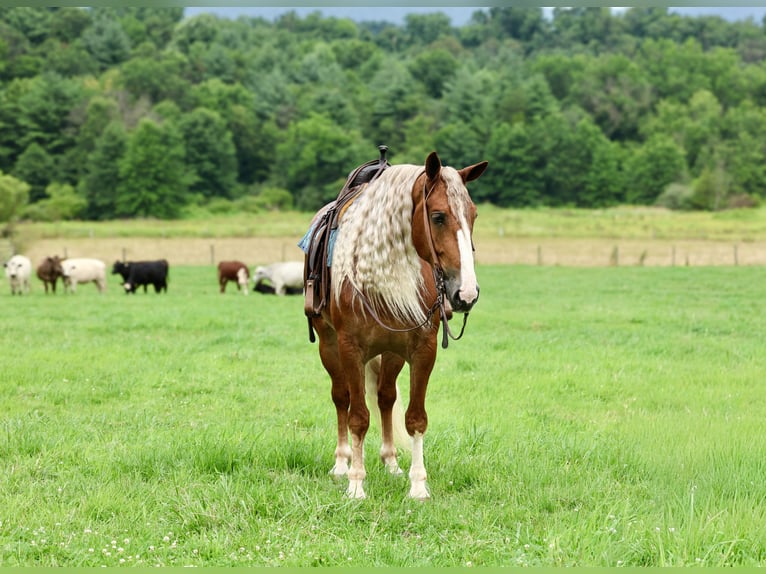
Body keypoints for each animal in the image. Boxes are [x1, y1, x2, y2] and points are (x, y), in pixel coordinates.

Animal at [303, 151, 488, 499]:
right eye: (438, 216)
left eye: (473, 215)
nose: (466, 293)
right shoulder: (350, 349)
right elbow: (358, 418)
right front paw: (356, 484)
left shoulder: (422, 349)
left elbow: (415, 418)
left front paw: (418, 486)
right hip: (328, 346)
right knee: (341, 398)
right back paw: (342, 464)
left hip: (391, 353)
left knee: (386, 397)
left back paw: (390, 462)